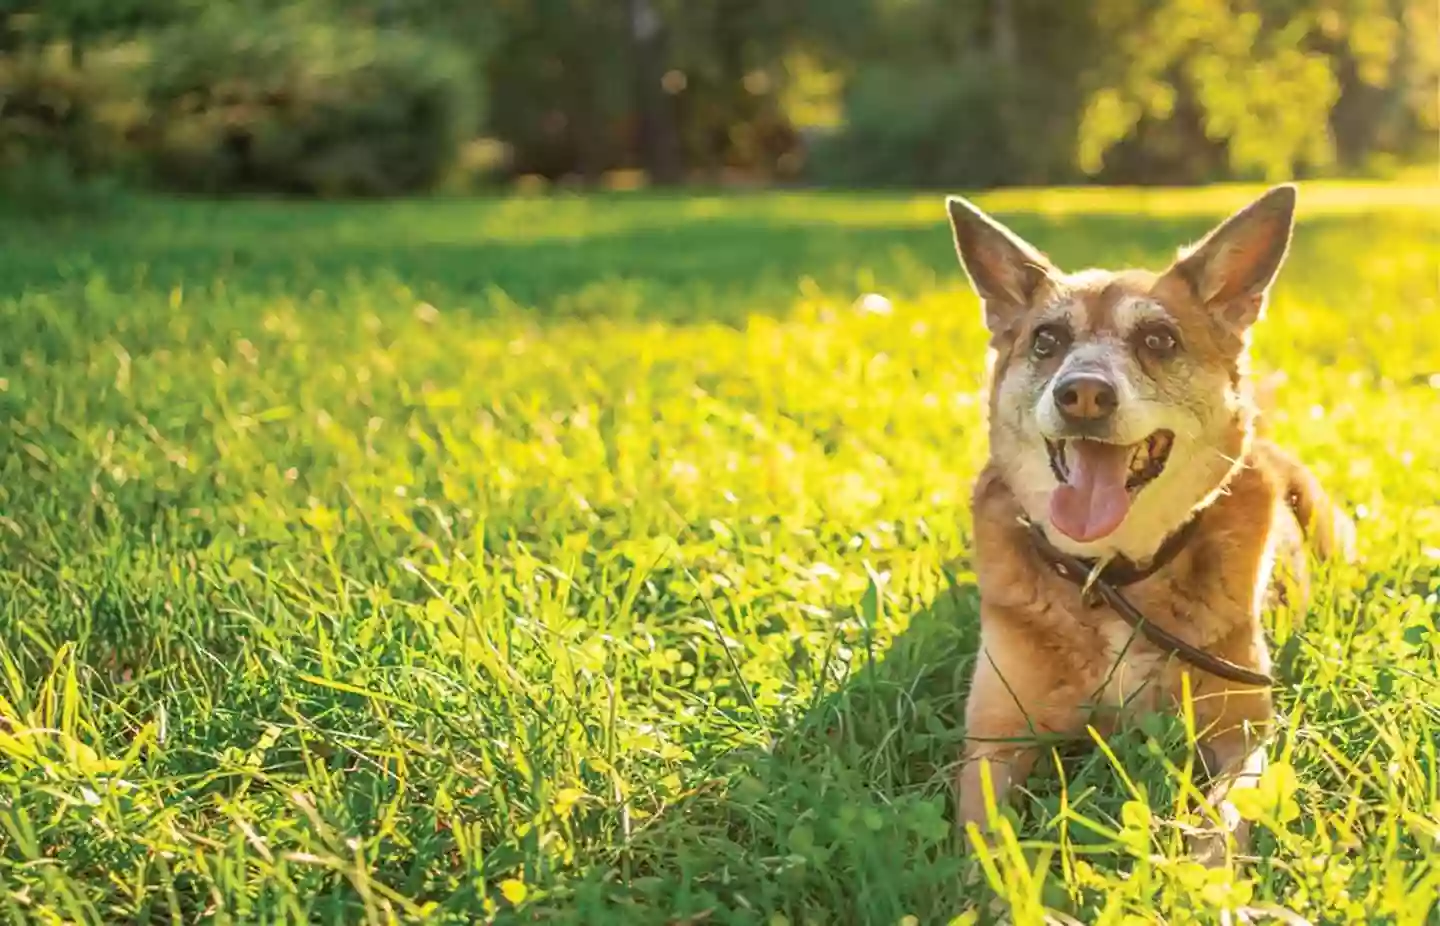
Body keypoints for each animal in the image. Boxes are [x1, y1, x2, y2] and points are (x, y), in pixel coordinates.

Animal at [950, 184, 1353, 864]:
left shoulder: (1242, 732)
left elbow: (1222, 823)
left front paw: (1201, 878)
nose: (1082, 394)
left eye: (1159, 340)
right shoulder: (995, 740)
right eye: (1046, 339)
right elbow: (989, 842)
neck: (1112, 576)